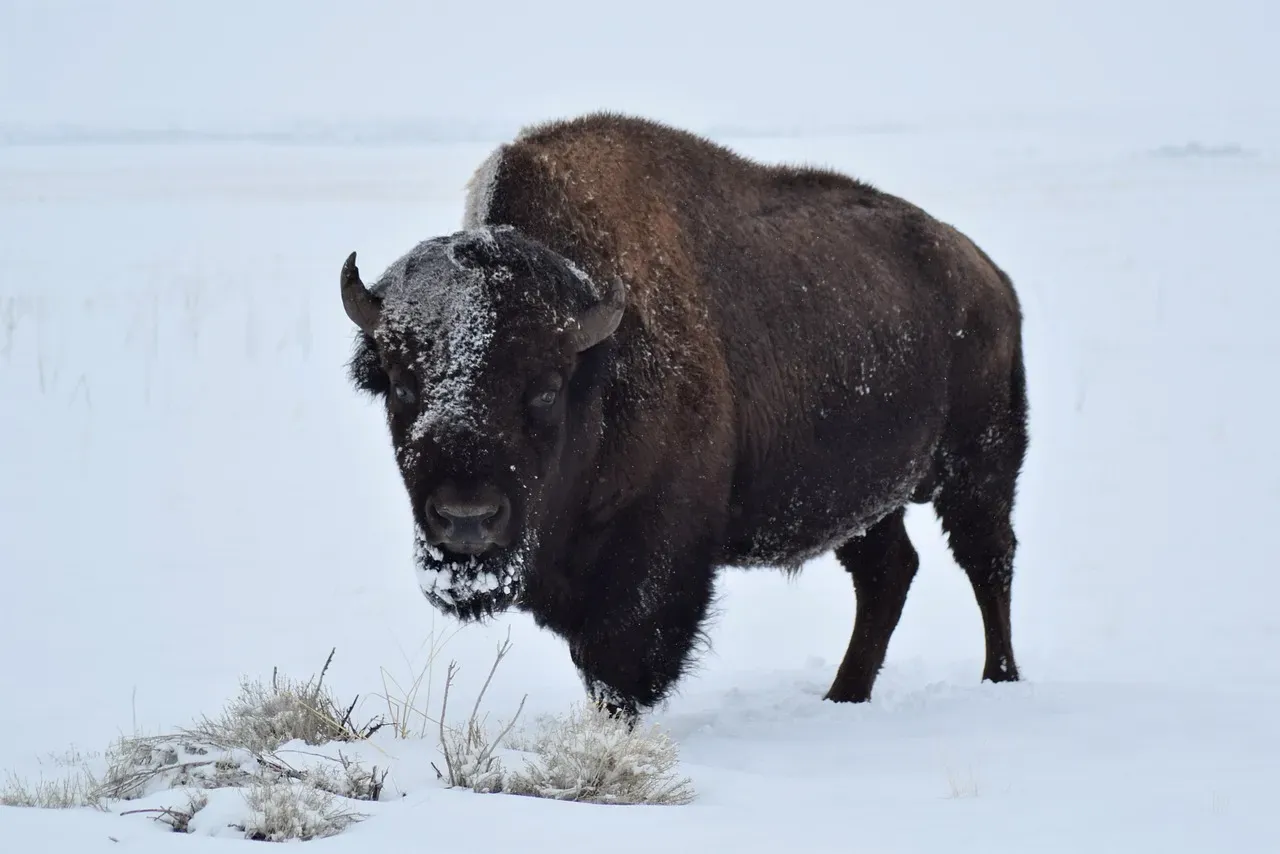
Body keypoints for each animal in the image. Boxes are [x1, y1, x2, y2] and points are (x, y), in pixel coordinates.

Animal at [342, 113, 1029, 719]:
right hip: (864, 498)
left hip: (980, 466)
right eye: (400, 385)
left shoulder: (653, 553)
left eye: (545, 388)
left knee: (987, 560)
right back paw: (843, 696)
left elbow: (619, 662)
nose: (467, 518)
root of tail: (988, 276)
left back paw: (999, 680)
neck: (598, 357)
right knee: (889, 573)